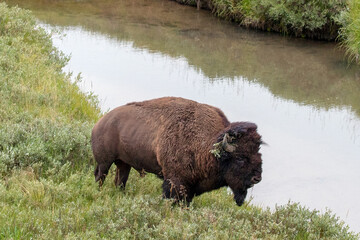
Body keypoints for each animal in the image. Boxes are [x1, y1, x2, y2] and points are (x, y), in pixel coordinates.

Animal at [91, 96, 262, 205]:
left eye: (258, 153)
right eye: (240, 157)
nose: (257, 178)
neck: (208, 145)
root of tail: (100, 123)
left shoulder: (190, 187)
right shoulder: (175, 181)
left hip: (124, 163)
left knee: (120, 180)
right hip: (105, 162)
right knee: (100, 176)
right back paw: (99, 192)